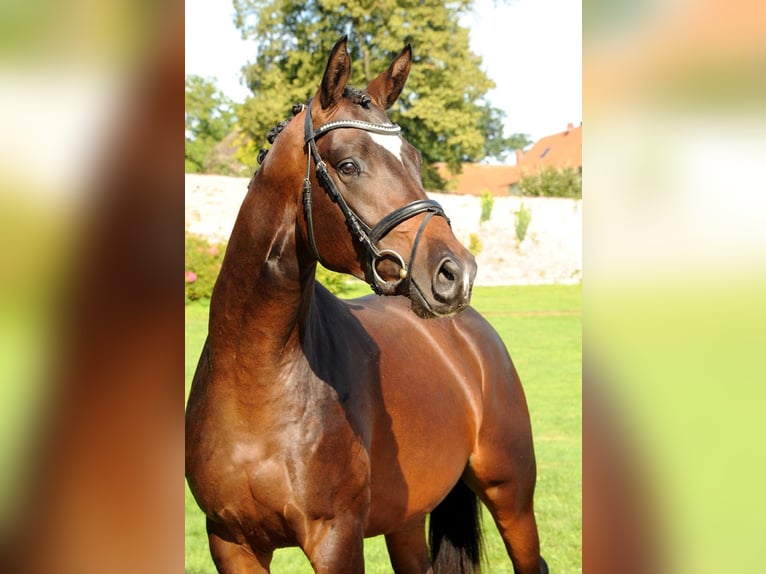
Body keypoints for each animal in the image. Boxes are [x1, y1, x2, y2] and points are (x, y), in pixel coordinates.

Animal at [185, 37, 544, 574]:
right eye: (349, 165)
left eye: (415, 160)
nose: (455, 272)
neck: (255, 376)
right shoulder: (230, 541)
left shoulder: (336, 537)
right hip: (407, 520)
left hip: (511, 494)